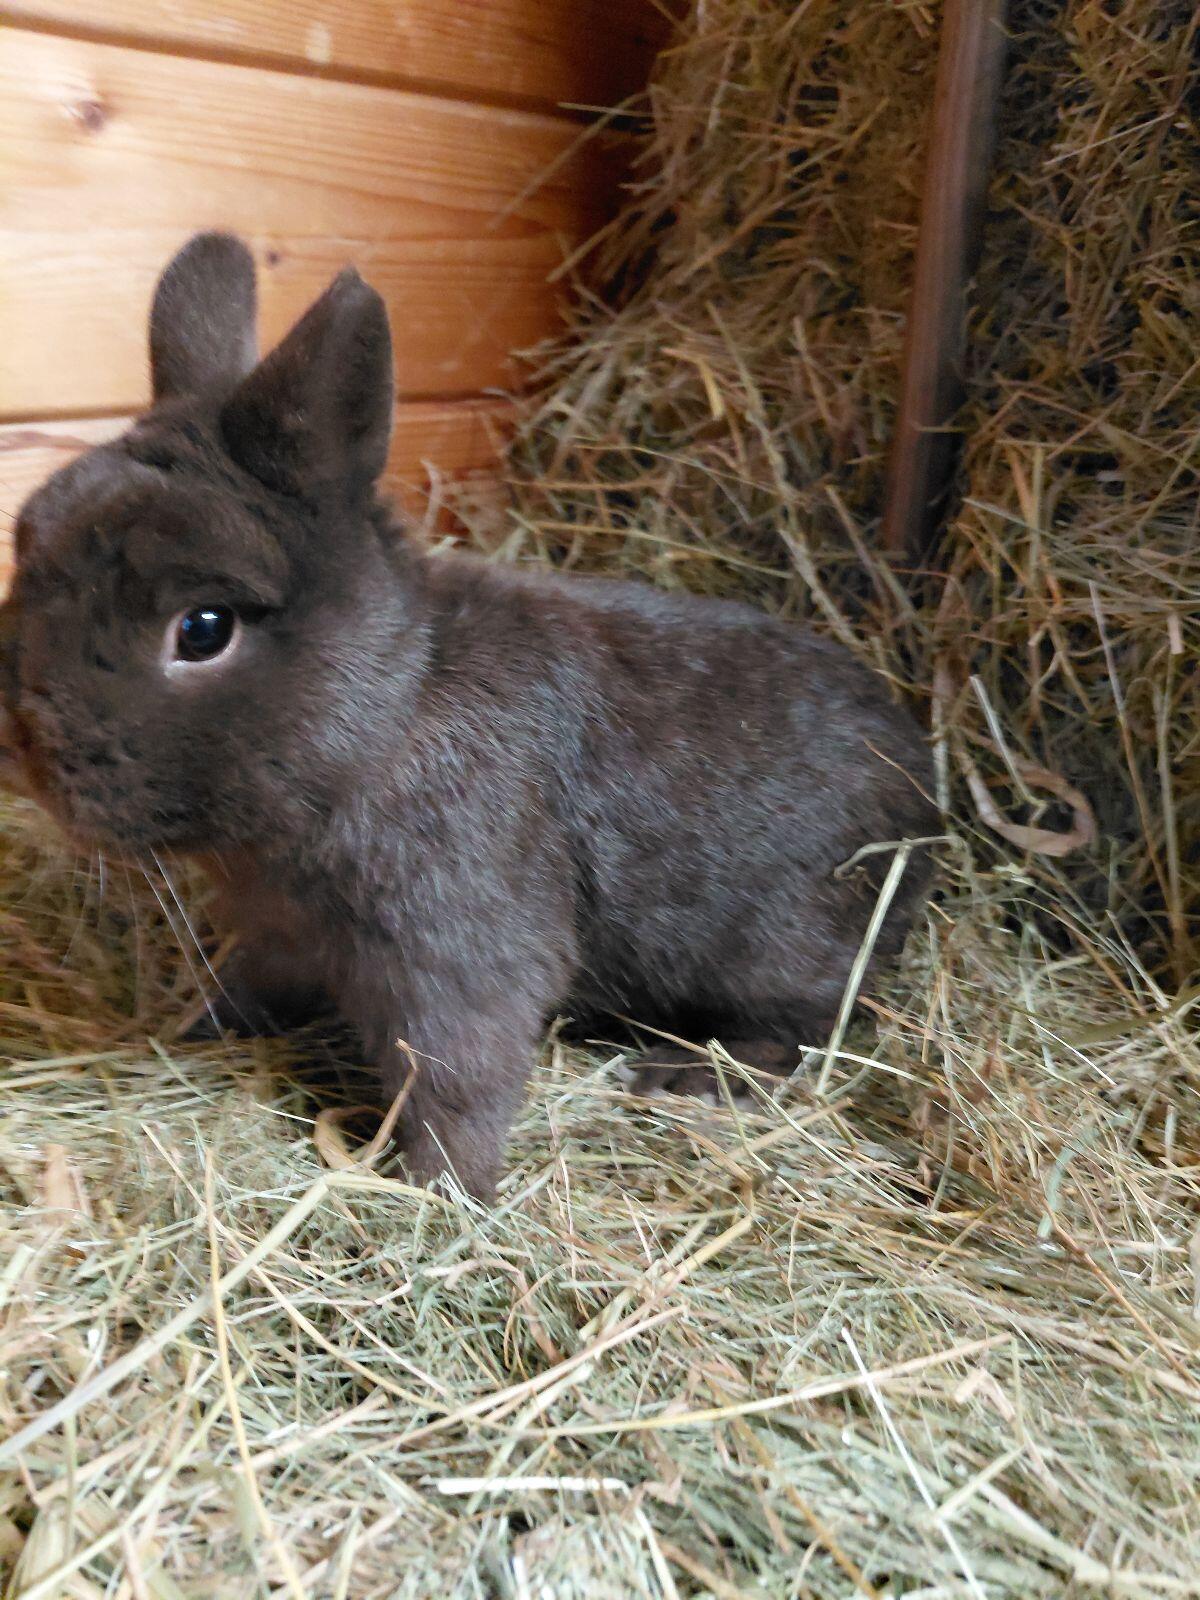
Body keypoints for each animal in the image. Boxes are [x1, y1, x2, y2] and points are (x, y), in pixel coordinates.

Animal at [0, 232, 938, 1200]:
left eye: (204, 629)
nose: (21, 748)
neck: (382, 718)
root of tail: (924, 783)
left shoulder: (456, 958)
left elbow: (458, 1078)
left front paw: (443, 1191)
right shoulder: (281, 935)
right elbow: (251, 987)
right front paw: (194, 1030)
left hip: (789, 950)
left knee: (808, 1026)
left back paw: (690, 1074)